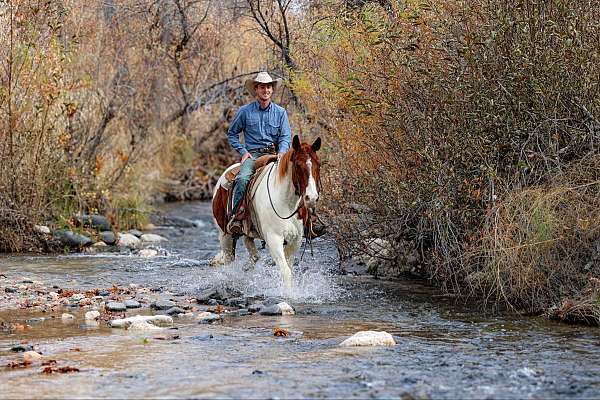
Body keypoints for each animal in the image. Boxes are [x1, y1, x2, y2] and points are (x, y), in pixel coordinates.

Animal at [212, 135, 324, 290]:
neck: (286, 202)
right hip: (225, 235)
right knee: (229, 260)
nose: (311, 198)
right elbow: (285, 271)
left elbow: (289, 268)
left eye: (318, 165)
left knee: (253, 253)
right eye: (298, 165)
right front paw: (288, 294)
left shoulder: (296, 240)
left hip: (248, 231)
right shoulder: (274, 239)